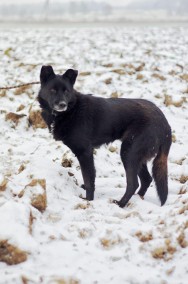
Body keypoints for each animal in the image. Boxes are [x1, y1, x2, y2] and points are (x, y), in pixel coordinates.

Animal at [37, 66, 172, 209]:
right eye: (53, 90)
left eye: (66, 91)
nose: (62, 104)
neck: (71, 110)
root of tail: (164, 123)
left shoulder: (85, 152)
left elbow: (89, 180)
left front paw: (89, 200)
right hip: (137, 156)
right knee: (146, 179)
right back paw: (137, 199)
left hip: (128, 152)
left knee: (133, 183)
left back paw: (121, 204)